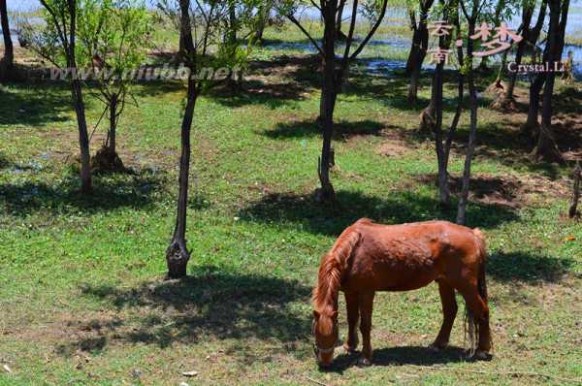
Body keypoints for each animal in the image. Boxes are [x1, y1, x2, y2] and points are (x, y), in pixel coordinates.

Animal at [312, 219, 496, 366]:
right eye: (315, 331)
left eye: (332, 332)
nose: (324, 362)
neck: (353, 251)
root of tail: (474, 234)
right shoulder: (350, 292)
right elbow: (352, 320)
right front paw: (350, 346)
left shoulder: (366, 292)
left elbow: (365, 324)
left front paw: (365, 357)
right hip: (445, 283)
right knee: (450, 310)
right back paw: (438, 344)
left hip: (466, 286)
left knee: (483, 311)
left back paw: (482, 350)